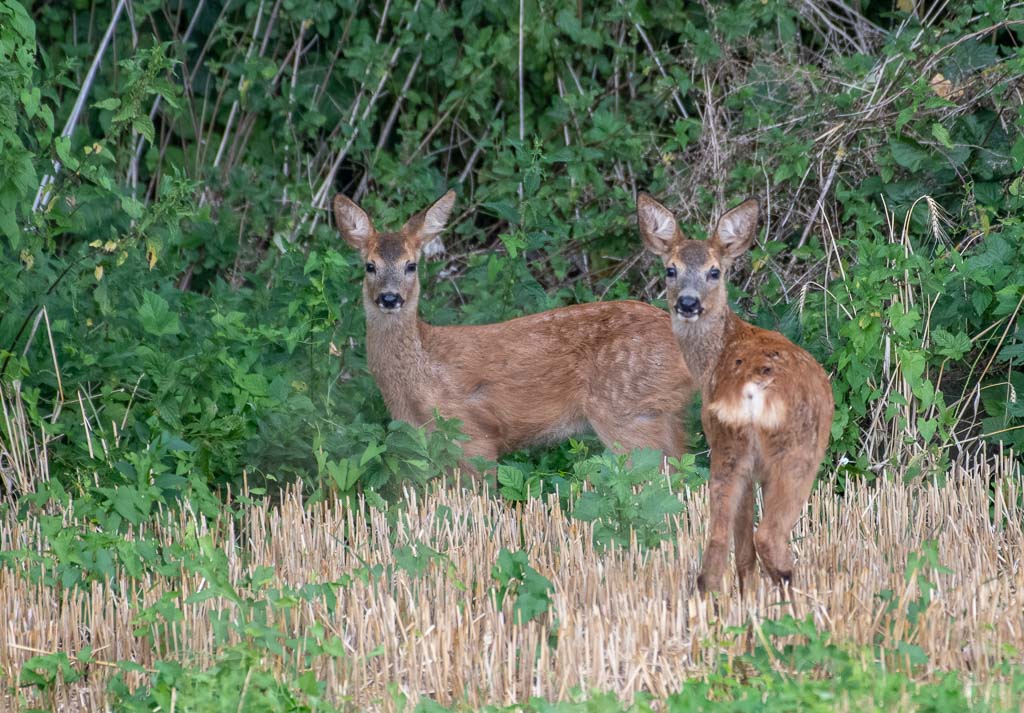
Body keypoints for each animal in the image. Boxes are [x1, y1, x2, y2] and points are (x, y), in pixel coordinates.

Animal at [333, 190, 696, 479]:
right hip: (662, 415)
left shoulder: (473, 436)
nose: (389, 298)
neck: (419, 377)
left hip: (629, 413)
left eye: (411, 265)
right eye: (369, 266)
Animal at [634, 192, 835, 594]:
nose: (688, 303)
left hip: (727, 444)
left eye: (714, 271)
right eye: (671, 269)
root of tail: (753, 389)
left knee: (717, 542)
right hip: (796, 451)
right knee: (768, 536)